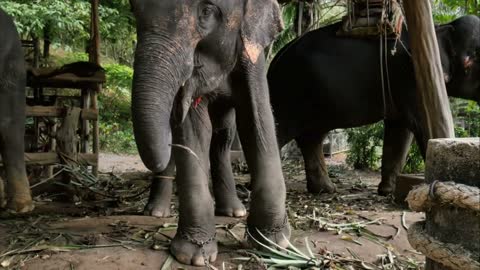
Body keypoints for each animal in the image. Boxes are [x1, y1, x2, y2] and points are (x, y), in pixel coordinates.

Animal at [129, 0, 290, 266]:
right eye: (134, 10)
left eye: (206, 11)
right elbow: (194, 132)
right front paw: (193, 255)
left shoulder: (252, 54)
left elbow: (256, 119)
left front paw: (275, 245)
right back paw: (156, 212)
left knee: (223, 137)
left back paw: (233, 211)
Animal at [270, 14, 480, 195]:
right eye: (469, 62)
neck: (437, 27)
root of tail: (274, 61)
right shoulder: (410, 77)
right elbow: (421, 123)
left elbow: (400, 132)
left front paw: (387, 191)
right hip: (288, 95)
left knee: (312, 138)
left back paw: (325, 190)